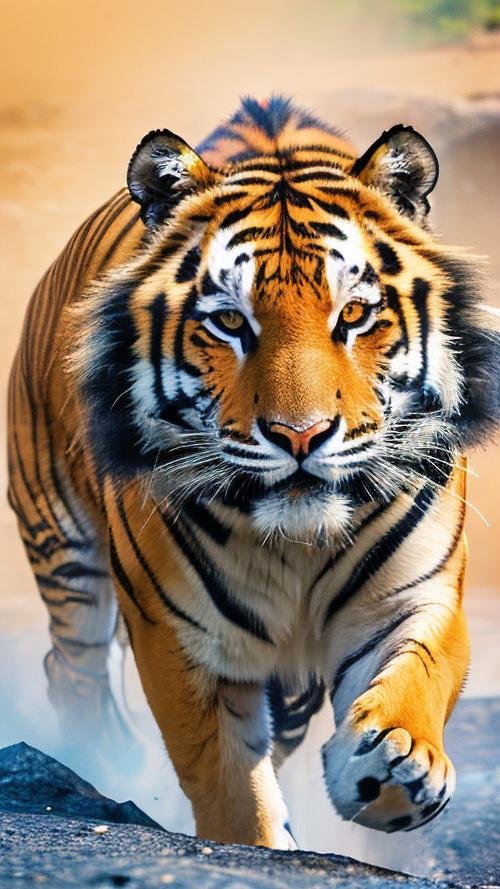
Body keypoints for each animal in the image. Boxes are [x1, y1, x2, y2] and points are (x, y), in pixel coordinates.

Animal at [7, 95, 500, 848]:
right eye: (230, 323)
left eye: (354, 314)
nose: (301, 435)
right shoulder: (182, 633)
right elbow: (229, 778)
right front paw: (261, 840)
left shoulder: (416, 593)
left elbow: (415, 678)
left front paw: (392, 772)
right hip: (61, 541)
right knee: (71, 666)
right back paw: (108, 762)